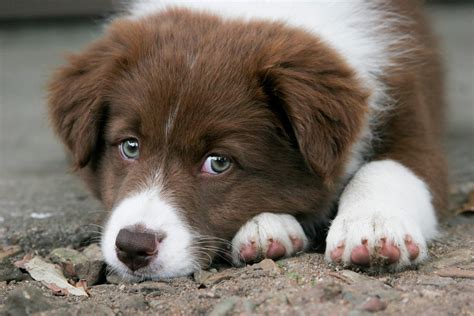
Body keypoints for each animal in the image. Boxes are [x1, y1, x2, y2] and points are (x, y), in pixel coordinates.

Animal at [48, 1, 448, 280]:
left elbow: (387, 168)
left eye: (219, 162)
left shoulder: (410, 111)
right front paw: (268, 225)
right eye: (130, 146)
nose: (133, 247)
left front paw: (373, 228)